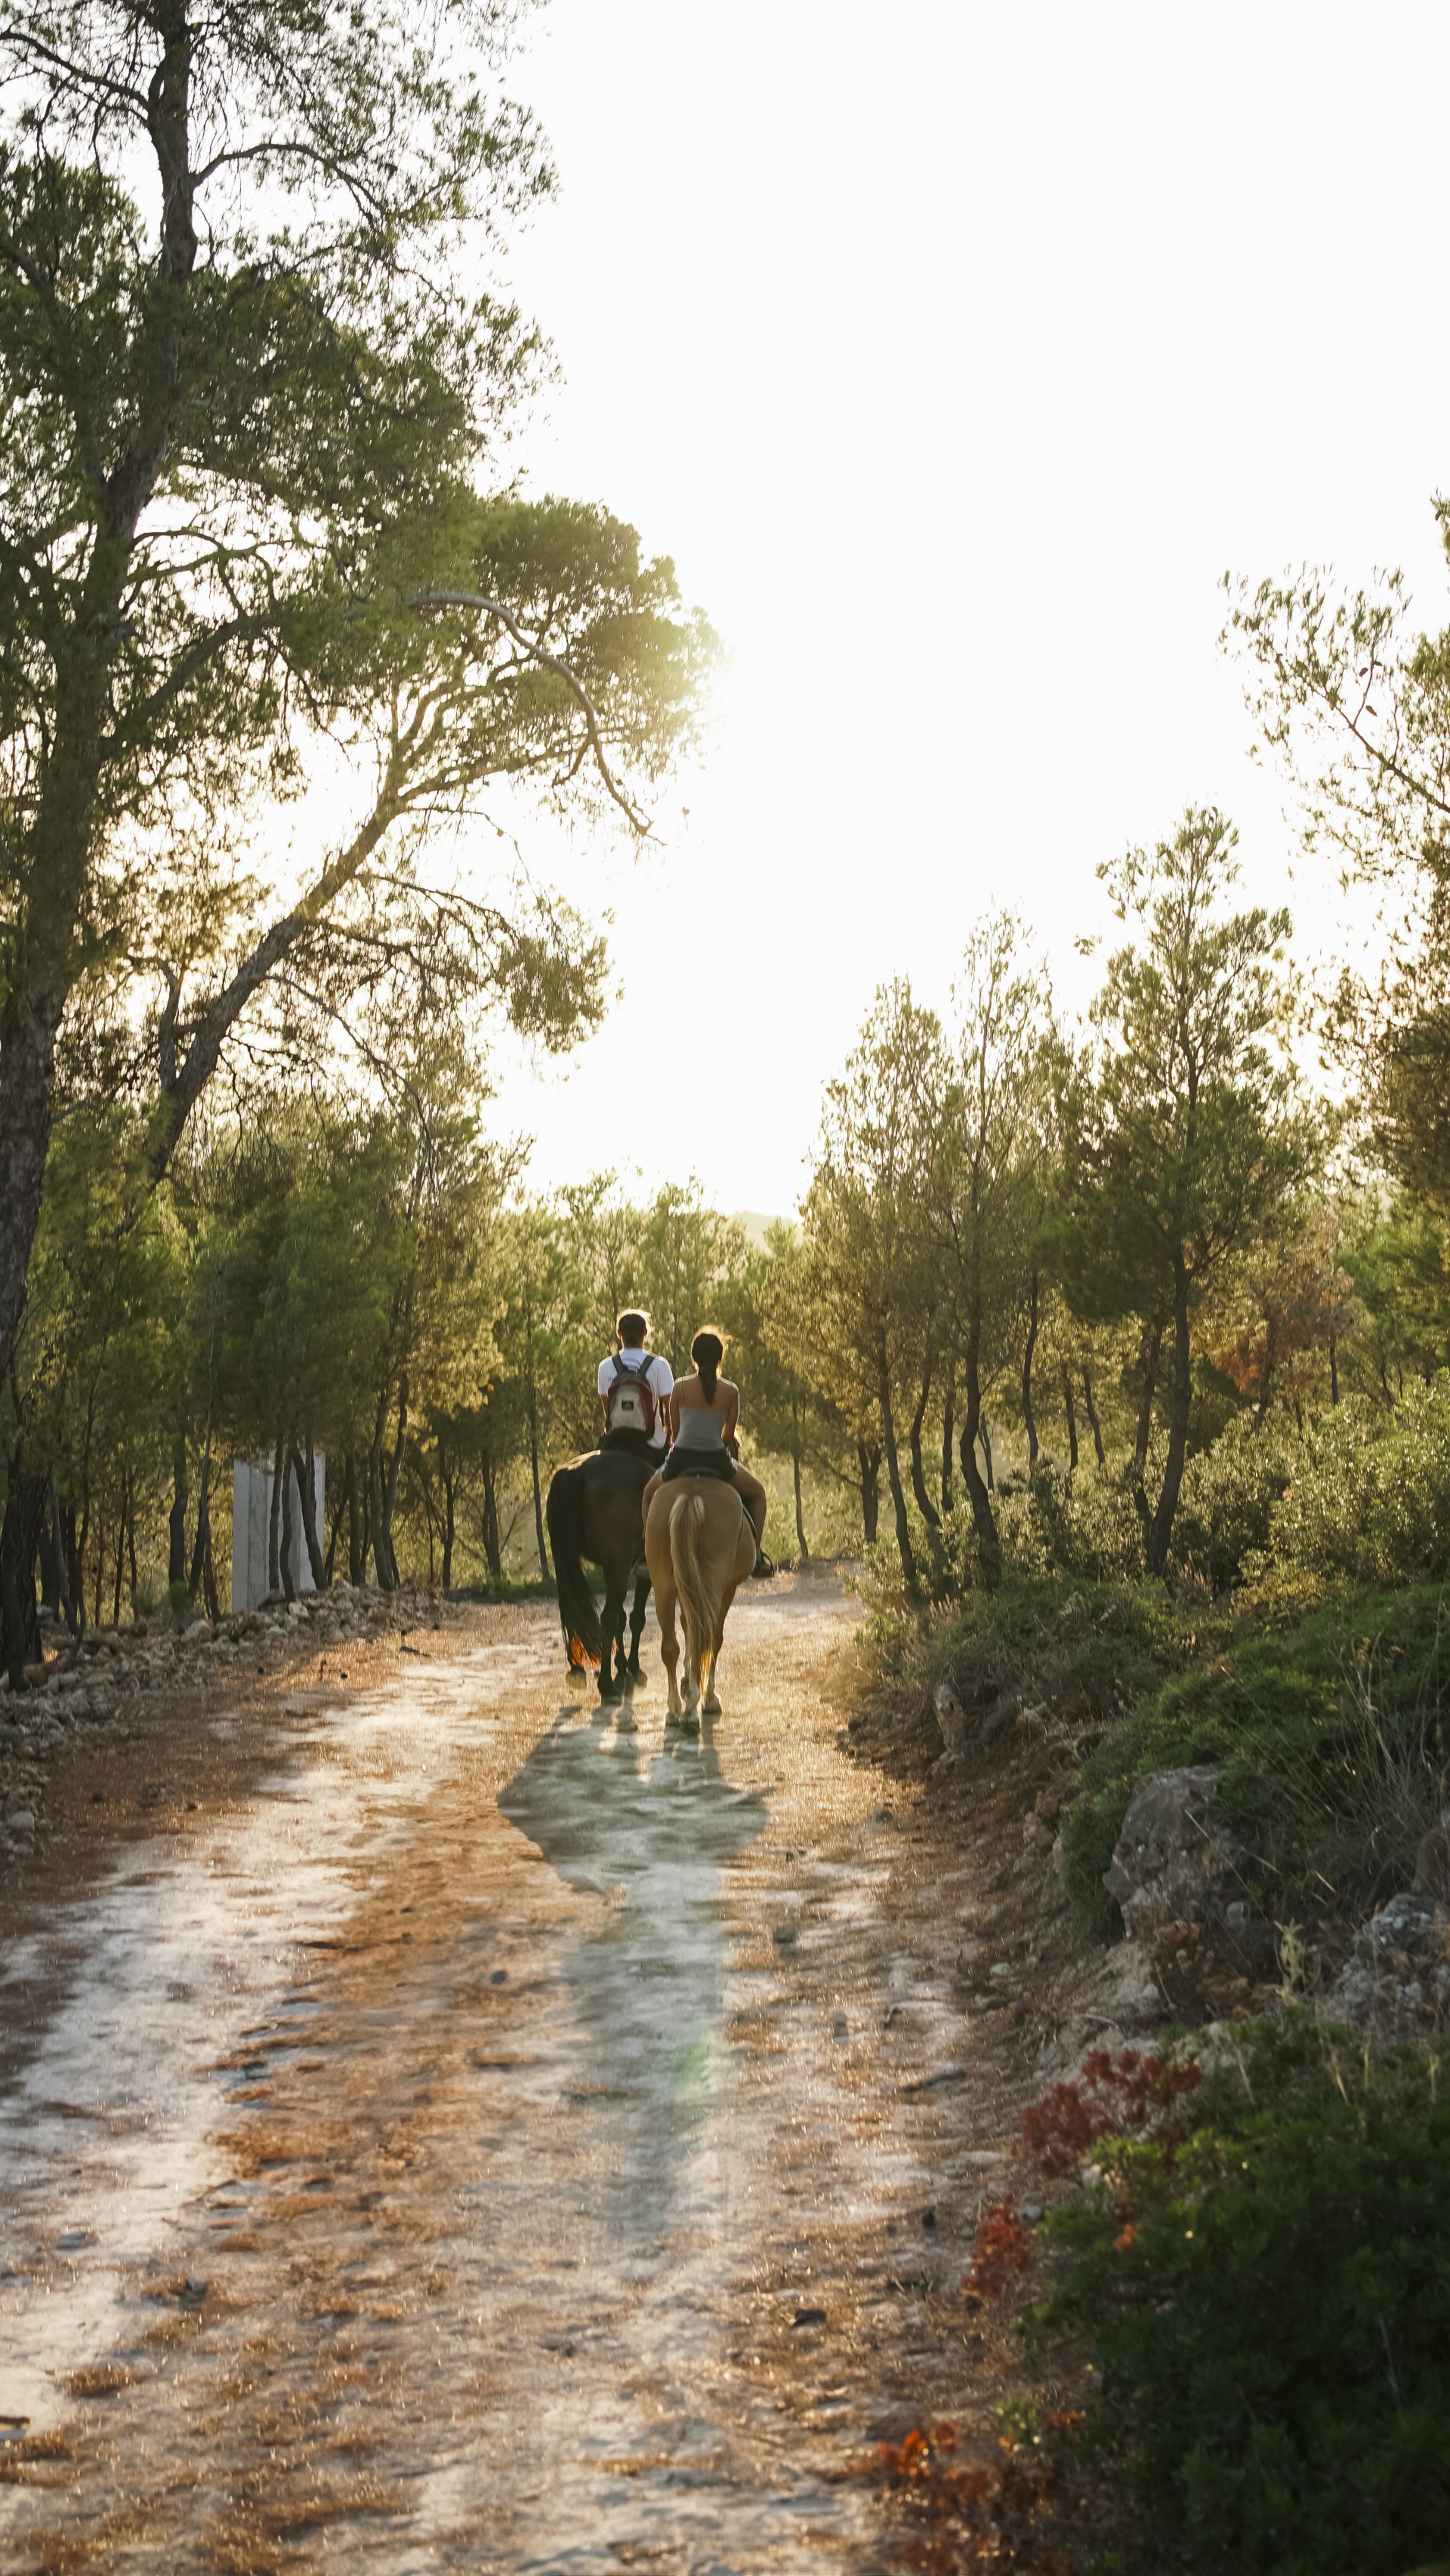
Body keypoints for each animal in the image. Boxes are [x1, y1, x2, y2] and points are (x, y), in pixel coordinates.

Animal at [545, 1445, 654, 1702]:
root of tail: (573, 1471)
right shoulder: (640, 1571)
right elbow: (635, 1618)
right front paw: (632, 1668)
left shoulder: (615, 1567)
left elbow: (624, 1618)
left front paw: (622, 1666)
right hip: (619, 1565)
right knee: (607, 1618)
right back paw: (605, 1684)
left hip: (569, 1561)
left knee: (571, 1607)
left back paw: (577, 1669)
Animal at [644, 1477, 756, 1726]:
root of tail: (690, 1494)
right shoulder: (728, 1590)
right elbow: (714, 1639)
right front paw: (708, 1696)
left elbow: (687, 1627)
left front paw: (686, 1680)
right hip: (712, 1588)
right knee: (707, 1636)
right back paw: (695, 1705)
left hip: (663, 1588)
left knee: (671, 1646)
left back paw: (675, 1708)